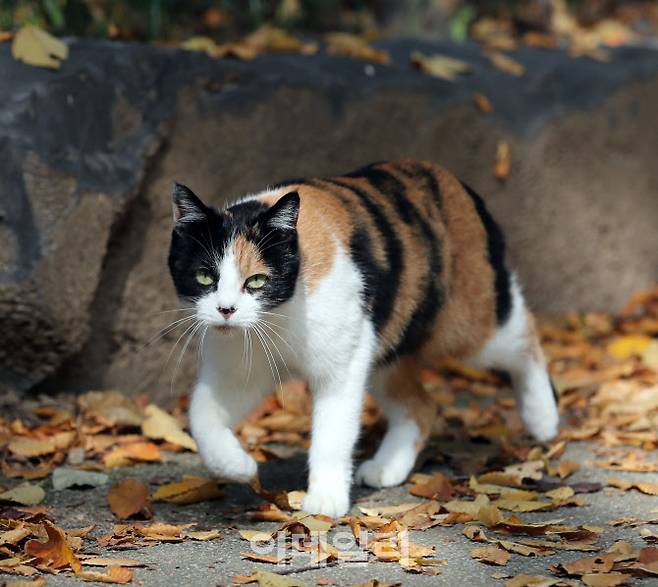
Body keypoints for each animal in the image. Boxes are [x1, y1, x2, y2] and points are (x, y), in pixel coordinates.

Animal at [167, 160, 556, 516]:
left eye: (257, 281)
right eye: (204, 277)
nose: (226, 309)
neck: (278, 316)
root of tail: (452, 179)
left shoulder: (341, 369)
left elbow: (332, 435)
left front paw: (325, 500)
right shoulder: (239, 372)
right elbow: (200, 413)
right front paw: (237, 466)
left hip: (466, 325)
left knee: (525, 334)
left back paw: (543, 419)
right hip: (387, 345)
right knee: (421, 407)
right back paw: (387, 467)